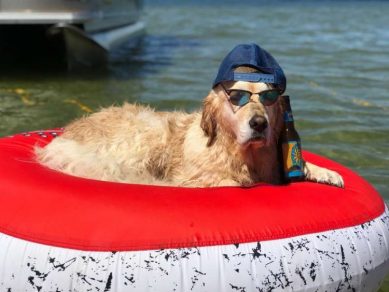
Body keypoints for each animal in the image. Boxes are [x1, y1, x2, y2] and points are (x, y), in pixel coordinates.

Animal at [34, 66, 342, 187]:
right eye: (237, 97)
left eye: (269, 98)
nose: (259, 123)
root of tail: (63, 138)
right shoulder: (192, 175)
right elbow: (224, 181)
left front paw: (326, 172)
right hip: (147, 132)